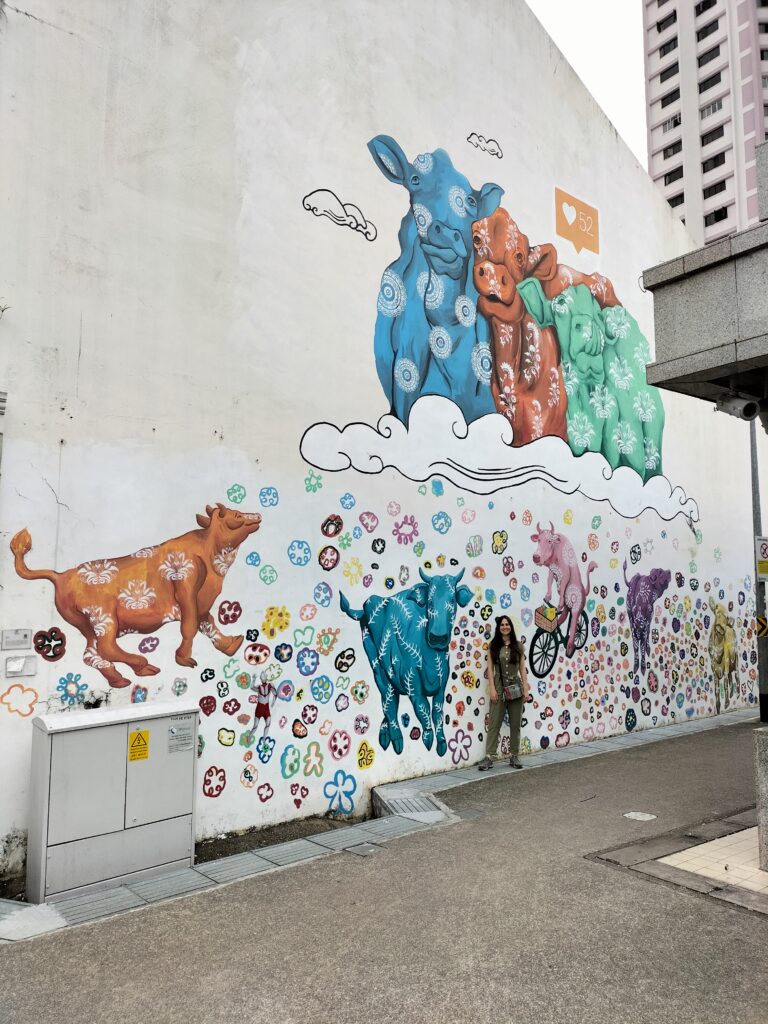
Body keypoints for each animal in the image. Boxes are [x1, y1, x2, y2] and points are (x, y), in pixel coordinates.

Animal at [9, 503, 262, 688]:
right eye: (236, 515)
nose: (258, 515)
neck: (211, 557)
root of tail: (61, 575)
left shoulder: (200, 603)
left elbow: (208, 624)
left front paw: (231, 644)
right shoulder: (186, 587)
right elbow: (190, 626)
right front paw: (184, 659)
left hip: (87, 626)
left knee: (91, 654)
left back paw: (120, 680)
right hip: (103, 617)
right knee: (106, 648)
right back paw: (143, 666)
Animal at [342, 573, 475, 757]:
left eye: (452, 600)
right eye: (430, 602)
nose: (438, 637)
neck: (432, 657)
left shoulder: (441, 685)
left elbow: (437, 713)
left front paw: (441, 743)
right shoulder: (412, 684)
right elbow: (423, 709)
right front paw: (428, 739)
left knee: (389, 700)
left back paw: (384, 736)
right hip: (377, 666)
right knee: (388, 701)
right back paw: (397, 740)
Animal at [532, 520, 598, 655]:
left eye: (549, 541)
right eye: (538, 540)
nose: (536, 557)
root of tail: (584, 591)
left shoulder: (566, 571)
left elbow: (562, 584)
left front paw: (559, 604)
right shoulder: (551, 570)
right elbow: (549, 581)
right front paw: (548, 597)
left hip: (576, 602)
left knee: (574, 621)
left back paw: (569, 647)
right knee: (567, 612)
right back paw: (559, 621)